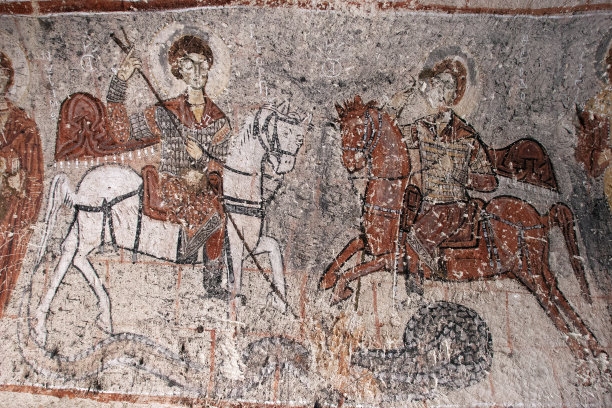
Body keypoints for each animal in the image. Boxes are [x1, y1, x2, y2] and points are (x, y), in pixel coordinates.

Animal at [32, 103, 309, 345]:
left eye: (299, 139)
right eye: (283, 133)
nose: (286, 165)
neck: (236, 192)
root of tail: (84, 185)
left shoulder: (251, 244)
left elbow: (275, 250)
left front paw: (279, 301)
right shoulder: (235, 246)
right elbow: (237, 284)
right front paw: (234, 330)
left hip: (83, 228)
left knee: (66, 251)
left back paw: (42, 324)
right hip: (93, 232)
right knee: (77, 257)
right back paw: (102, 314)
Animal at [319, 95, 605, 362]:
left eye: (361, 127)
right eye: (342, 127)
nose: (350, 162)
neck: (393, 202)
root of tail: (539, 216)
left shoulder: (391, 258)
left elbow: (351, 272)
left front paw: (339, 293)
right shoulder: (371, 246)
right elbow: (347, 251)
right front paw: (327, 281)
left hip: (528, 272)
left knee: (548, 299)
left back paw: (580, 351)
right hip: (534, 268)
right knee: (557, 292)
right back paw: (593, 345)